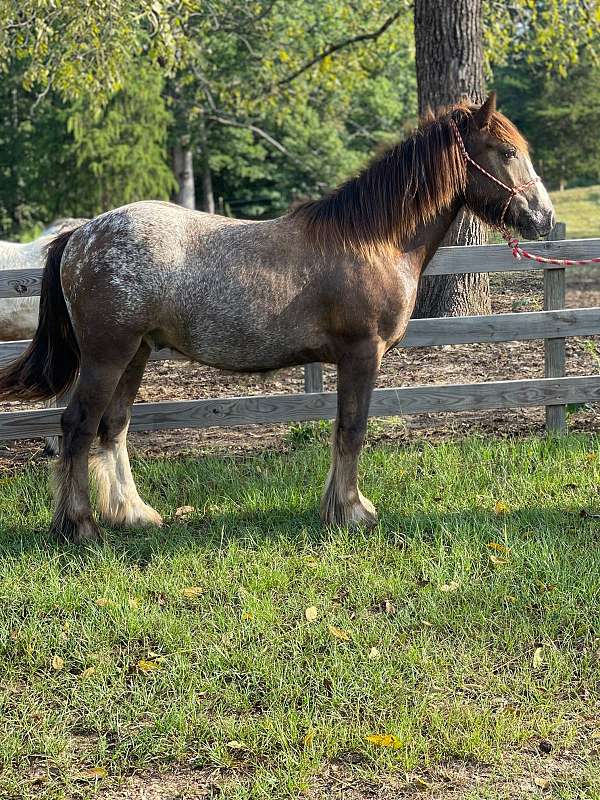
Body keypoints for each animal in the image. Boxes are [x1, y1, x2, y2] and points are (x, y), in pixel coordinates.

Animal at [0, 94, 556, 544]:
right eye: (506, 152)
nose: (544, 217)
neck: (371, 240)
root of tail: (80, 234)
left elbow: (342, 429)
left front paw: (341, 507)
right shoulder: (361, 353)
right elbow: (351, 428)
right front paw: (351, 512)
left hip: (134, 354)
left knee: (112, 428)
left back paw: (133, 515)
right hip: (106, 355)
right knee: (77, 426)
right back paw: (79, 526)